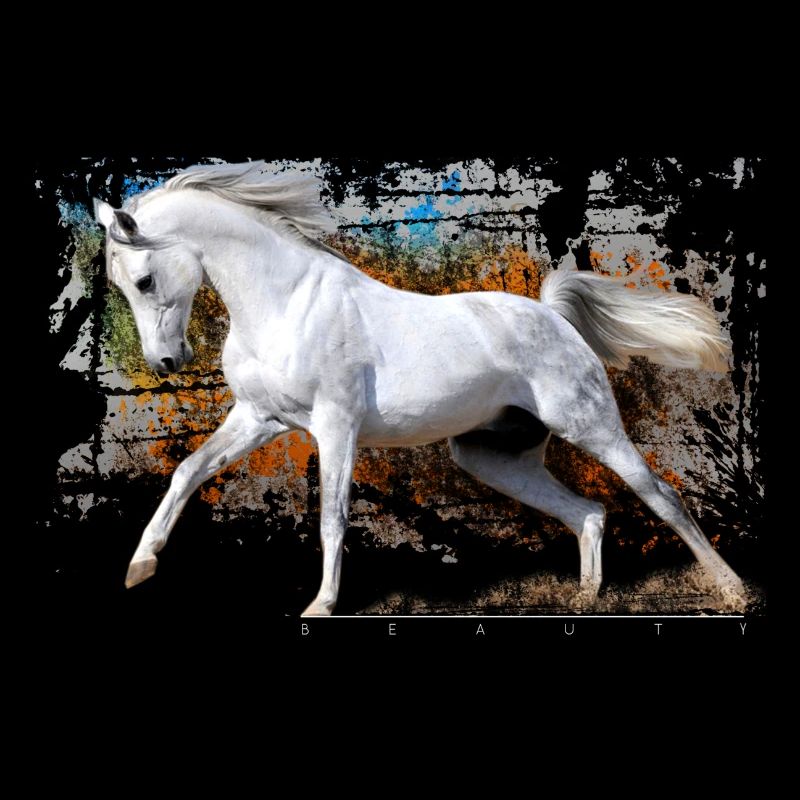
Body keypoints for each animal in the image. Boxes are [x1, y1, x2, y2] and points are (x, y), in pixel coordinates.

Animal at [93, 160, 746, 615]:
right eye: (121, 286)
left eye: (144, 280)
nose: (166, 362)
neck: (285, 302)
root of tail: (554, 316)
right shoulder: (258, 418)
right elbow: (188, 471)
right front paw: (139, 566)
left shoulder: (335, 425)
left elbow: (332, 516)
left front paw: (321, 605)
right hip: (493, 456)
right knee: (588, 513)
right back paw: (585, 601)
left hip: (590, 425)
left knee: (661, 496)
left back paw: (732, 590)